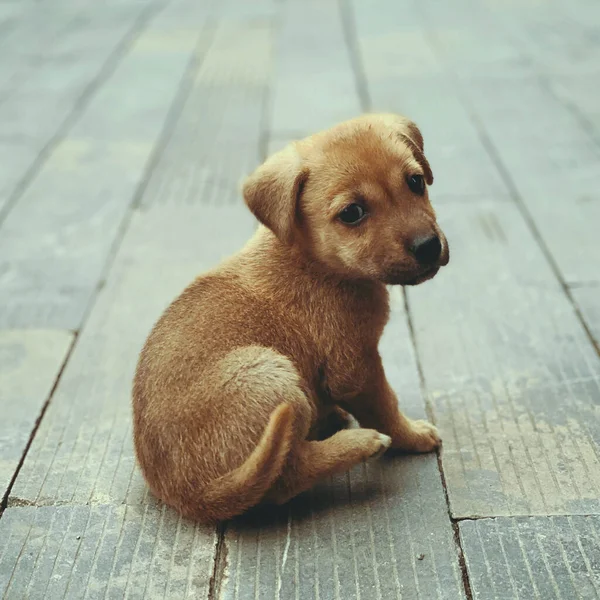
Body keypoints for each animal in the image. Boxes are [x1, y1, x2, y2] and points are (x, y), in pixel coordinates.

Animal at [132, 113, 450, 524]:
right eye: (352, 213)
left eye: (415, 182)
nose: (428, 247)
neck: (314, 262)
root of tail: (193, 495)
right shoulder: (356, 368)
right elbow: (386, 407)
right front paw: (412, 435)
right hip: (269, 371)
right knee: (287, 475)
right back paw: (359, 443)